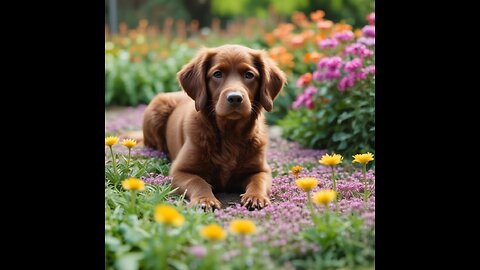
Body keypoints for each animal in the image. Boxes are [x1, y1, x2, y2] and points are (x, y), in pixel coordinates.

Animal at [142, 44, 284, 210]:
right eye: (217, 74)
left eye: (249, 75)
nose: (235, 98)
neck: (229, 134)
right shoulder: (179, 171)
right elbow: (198, 181)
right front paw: (204, 199)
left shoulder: (262, 169)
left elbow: (258, 181)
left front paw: (255, 197)